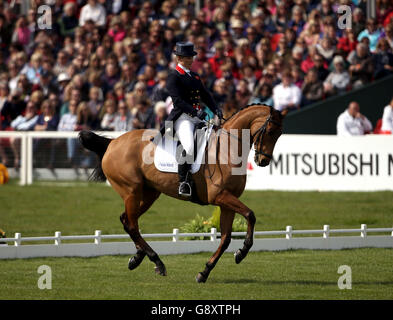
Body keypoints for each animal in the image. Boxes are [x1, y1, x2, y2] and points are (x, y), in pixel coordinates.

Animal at [79, 104, 286, 282]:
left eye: (280, 134)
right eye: (270, 131)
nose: (263, 161)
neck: (228, 148)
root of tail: (113, 142)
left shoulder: (227, 202)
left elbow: (226, 238)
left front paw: (205, 272)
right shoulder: (220, 196)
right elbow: (250, 215)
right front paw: (241, 253)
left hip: (148, 194)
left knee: (128, 220)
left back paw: (137, 258)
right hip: (131, 191)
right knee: (131, 225)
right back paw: (157, 262)